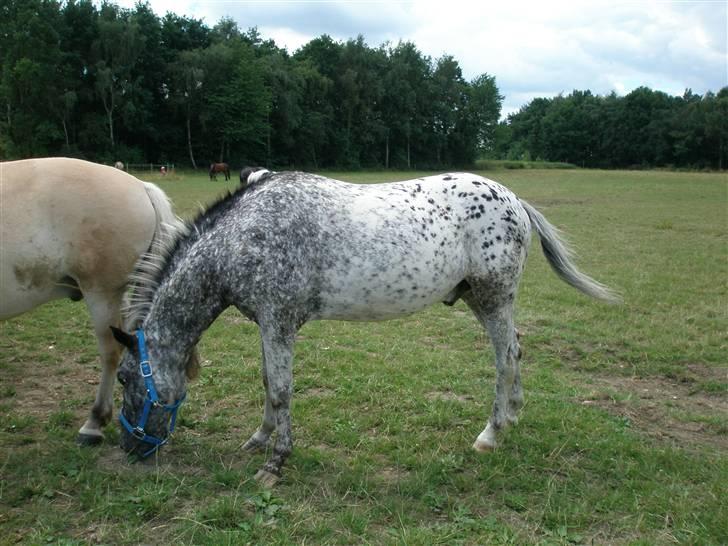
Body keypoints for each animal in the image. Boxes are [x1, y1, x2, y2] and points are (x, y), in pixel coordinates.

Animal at [111, 169, 616, 484]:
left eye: (122, 377)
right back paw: (511, 417)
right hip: (481, 298)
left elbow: (282, 389)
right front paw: (258, 440)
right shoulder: (267, 324)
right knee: (515, 351)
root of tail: (515, 201)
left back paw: (491, 433)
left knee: (505, 357)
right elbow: (269, 384)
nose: (130, 449)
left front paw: (276, 463)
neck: (241, 237)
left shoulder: (279, 323)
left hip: (494, 298)